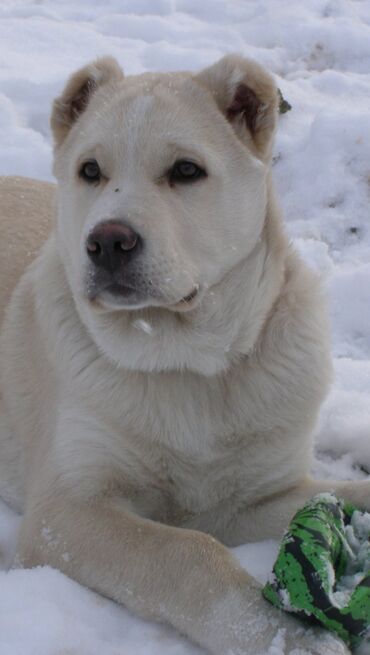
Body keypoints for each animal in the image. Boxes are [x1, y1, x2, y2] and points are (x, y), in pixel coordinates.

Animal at [0, 56, 368, 655]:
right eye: (89, 170)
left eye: (187, 170)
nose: (107, 242)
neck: (188, 368)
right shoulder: (64, 513)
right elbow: (185, 553)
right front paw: (284, 636)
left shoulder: (253, 498)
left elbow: (348, 491)